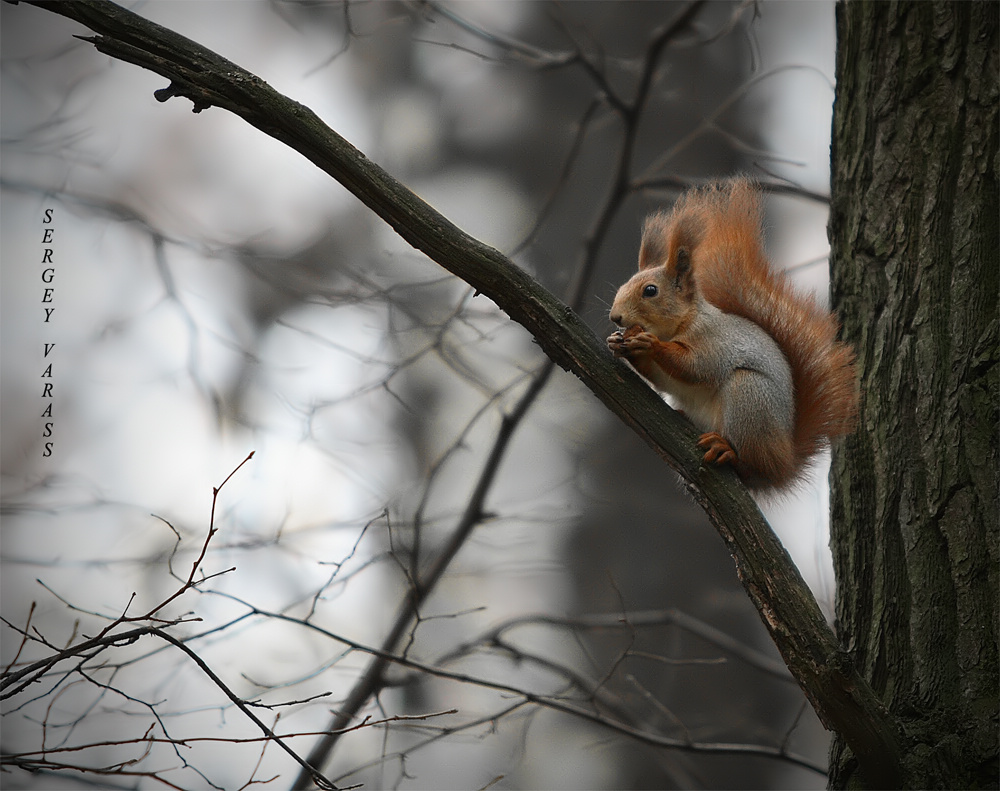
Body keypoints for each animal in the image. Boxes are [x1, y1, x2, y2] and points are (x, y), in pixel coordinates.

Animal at [604, 179, 856, 488]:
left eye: (650, 291)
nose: (615, 317)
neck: (682, 324)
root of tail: (783, 462)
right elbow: (662, 378)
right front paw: (618, 343)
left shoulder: (716, 341)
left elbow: (698, 367)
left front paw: (651, 345)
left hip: (749, 397)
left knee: (751, 464)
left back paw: (728, 451)